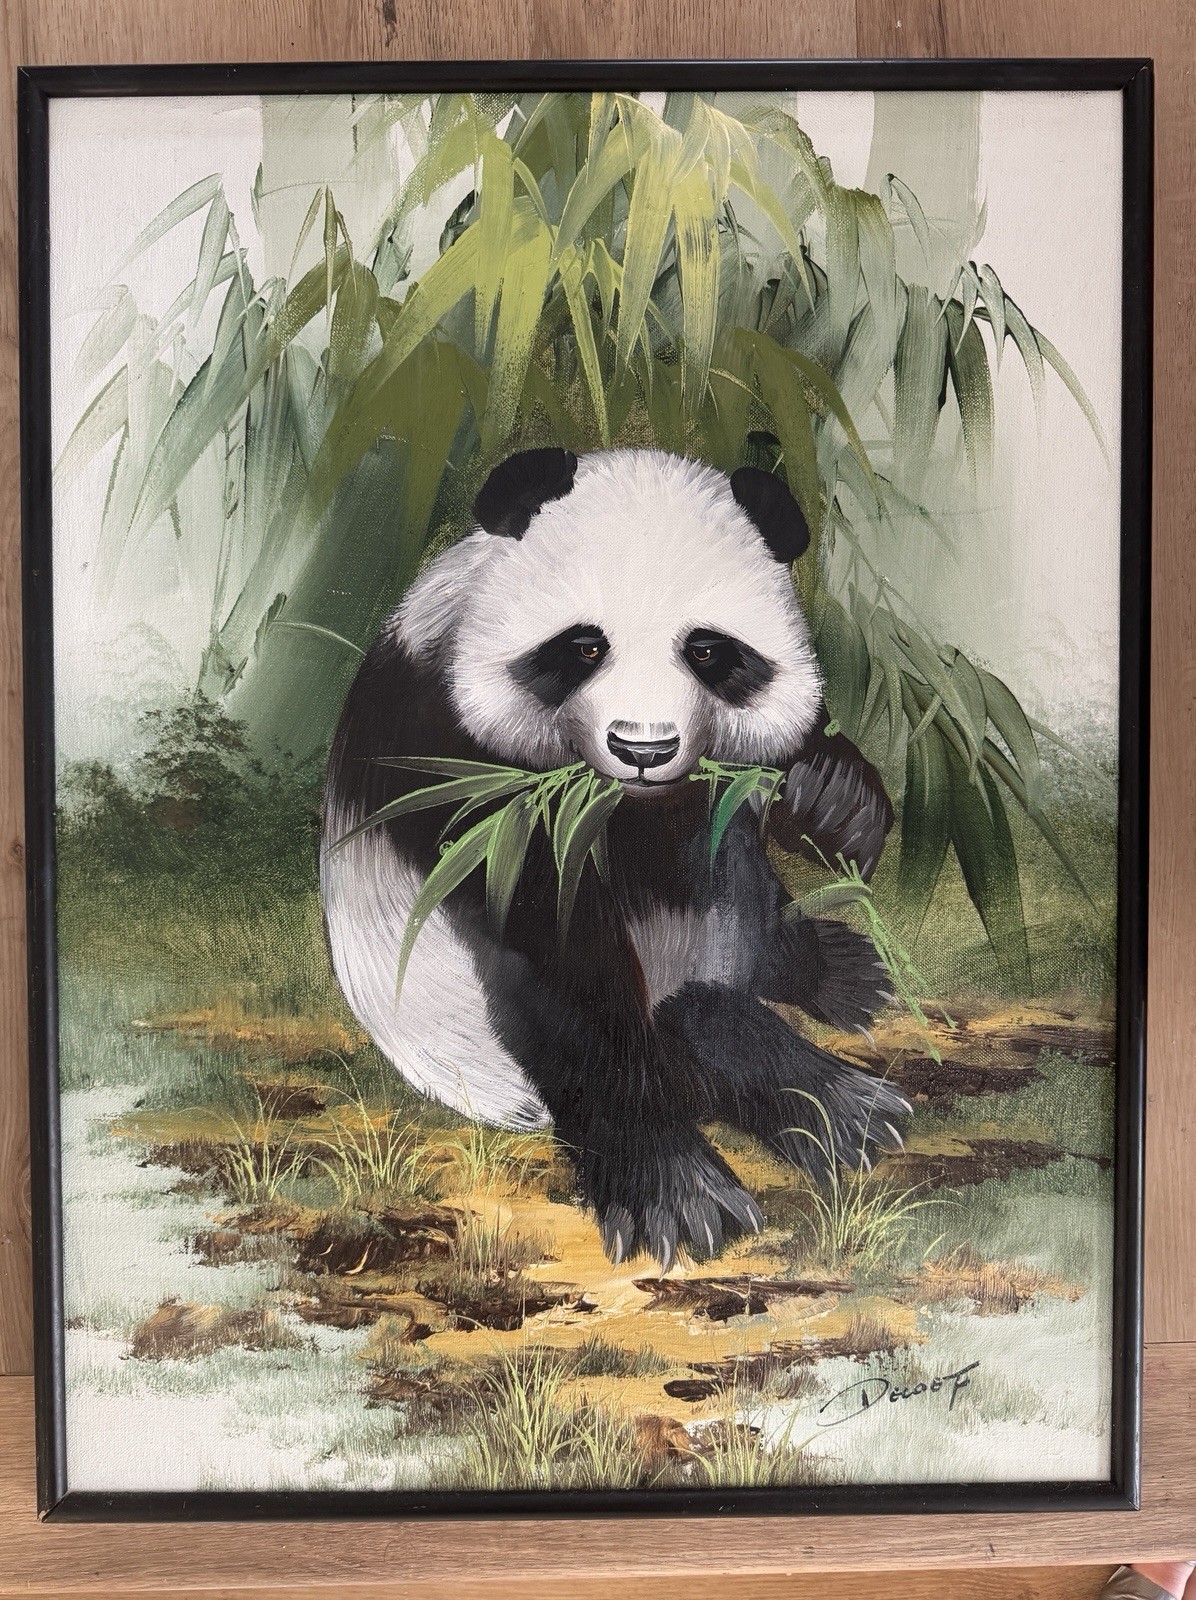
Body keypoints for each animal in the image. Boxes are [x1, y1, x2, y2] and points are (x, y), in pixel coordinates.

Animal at [321, 446, 910, 1271]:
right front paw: (676, 1193)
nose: (644, 749)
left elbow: (753, 804)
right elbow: (563, 961)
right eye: (584, 646)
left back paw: (832, 987)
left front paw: (834, 802)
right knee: (633, 1030)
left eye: (707, 650)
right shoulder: (461, 761)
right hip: (470, 1025)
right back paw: (809, 1097)